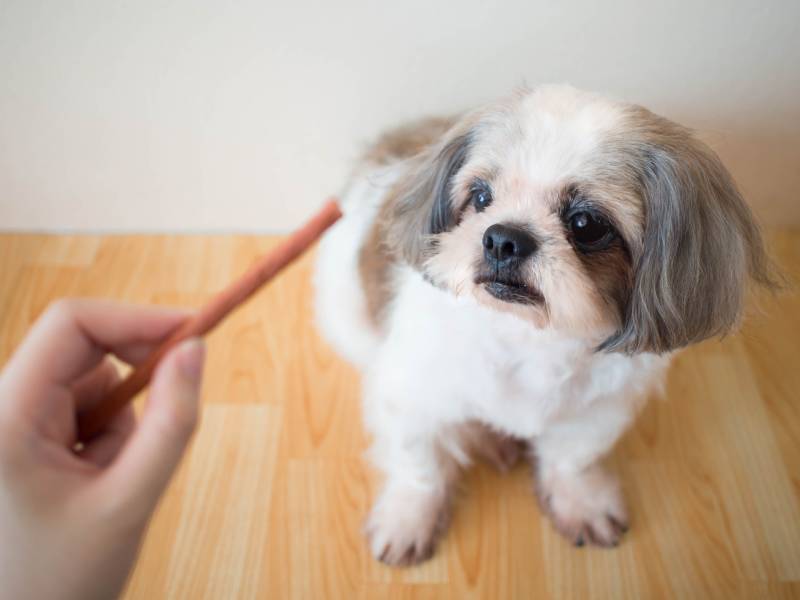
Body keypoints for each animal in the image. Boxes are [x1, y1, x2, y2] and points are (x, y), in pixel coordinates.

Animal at [314, 84, 776, 568]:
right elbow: (419, 465)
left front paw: (579, 500)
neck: (529, 338)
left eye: (585, 224)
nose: (503, 238)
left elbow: (571, 458)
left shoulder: (600, 409)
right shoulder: (409, 398)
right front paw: (409, 517)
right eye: (481, 197)